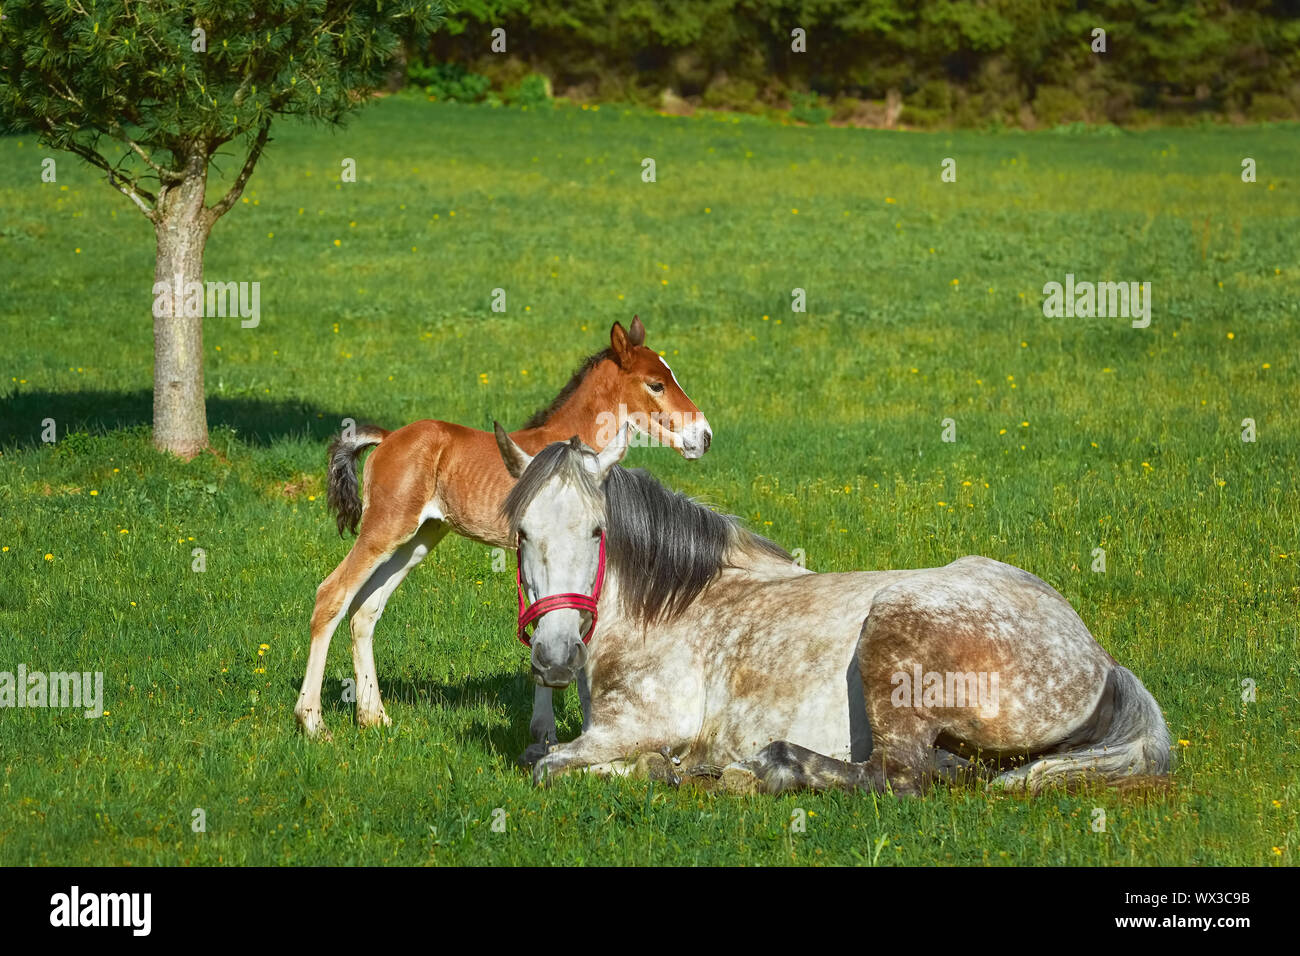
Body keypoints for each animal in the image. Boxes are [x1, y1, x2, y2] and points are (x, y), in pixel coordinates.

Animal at [491, 429, 1175, 801]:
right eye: (522, 534)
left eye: (597, 530)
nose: (555, 658)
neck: (667, 607)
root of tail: (1099, 659)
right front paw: (671, 769)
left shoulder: (635, 726)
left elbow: (550, 765)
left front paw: (668, 768)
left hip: (894, 637)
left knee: (899, 778)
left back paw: (770, 769)